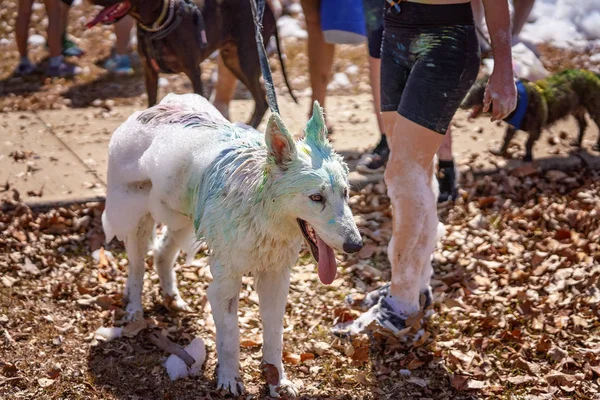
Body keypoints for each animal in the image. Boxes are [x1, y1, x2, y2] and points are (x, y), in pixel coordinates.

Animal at [88, 0, 296, 127]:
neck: (156, 24)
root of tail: (269, 10)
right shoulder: (149, 71)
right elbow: (151, 102)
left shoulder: (193, 70)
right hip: (233, 61)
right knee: (261, 99)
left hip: (247, 59)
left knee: (262, 100)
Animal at [462, 69, 596, 161]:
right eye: (468, 90)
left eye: (479, 94)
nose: (461, 104)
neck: (518, 102)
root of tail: (592, 73)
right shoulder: (512, 126)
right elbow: (506, 138)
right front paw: (499, 151)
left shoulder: (535, 130)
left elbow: (528, 143)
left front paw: (527, 157)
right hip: (577, 110)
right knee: (583, 124)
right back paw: (577, 142)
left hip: (594, 108)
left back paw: (596, 146)